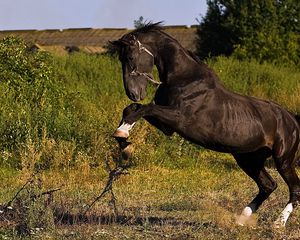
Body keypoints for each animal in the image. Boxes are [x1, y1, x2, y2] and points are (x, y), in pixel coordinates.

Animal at [111, 22, 300, 227]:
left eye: (130, 57)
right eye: (121, 58)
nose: (133, 93)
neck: (184, 78)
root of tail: (291, 119)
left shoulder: (179, 118)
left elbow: (146, 108)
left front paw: (123, 135)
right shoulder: (168, 127)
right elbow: (133, 109)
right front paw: (124, 143)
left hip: (283, 160)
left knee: (294, 188)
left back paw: (278, 223)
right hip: (248, 159)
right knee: (268, 185)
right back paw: (241, 219)